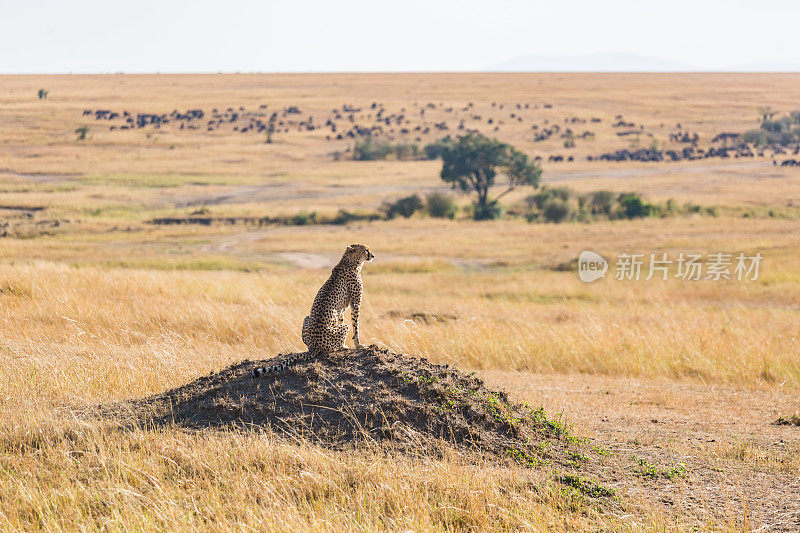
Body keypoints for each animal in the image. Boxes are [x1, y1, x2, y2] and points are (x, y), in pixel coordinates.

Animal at [252, 243, 374, 376]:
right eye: (366, 250)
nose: (373, 255)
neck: (349, 261)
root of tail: (314, 346)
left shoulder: (342, 308)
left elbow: (340, 319)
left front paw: (352, 344)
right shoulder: (355, 304)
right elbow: (356, 326)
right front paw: (359, 345)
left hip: (307, 318)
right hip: (342, 329)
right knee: (335, 342)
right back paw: (341, 347)